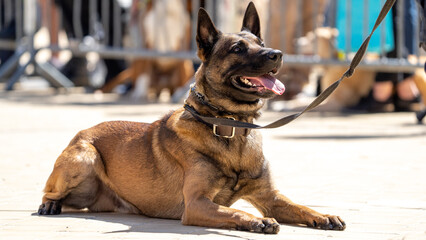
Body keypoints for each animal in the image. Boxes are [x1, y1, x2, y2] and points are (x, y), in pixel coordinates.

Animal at [38, 2, 346, 233]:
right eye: (237, 49)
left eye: (261, 42)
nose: (278, 54)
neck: (230, 127)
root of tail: (83, 132)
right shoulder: (197, 204)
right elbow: (234, 212)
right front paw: (257, 220)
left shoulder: (271, 197)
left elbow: (300, 206)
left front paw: (323, 216)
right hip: (84, 157)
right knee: (49, 192)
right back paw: (50, 205)